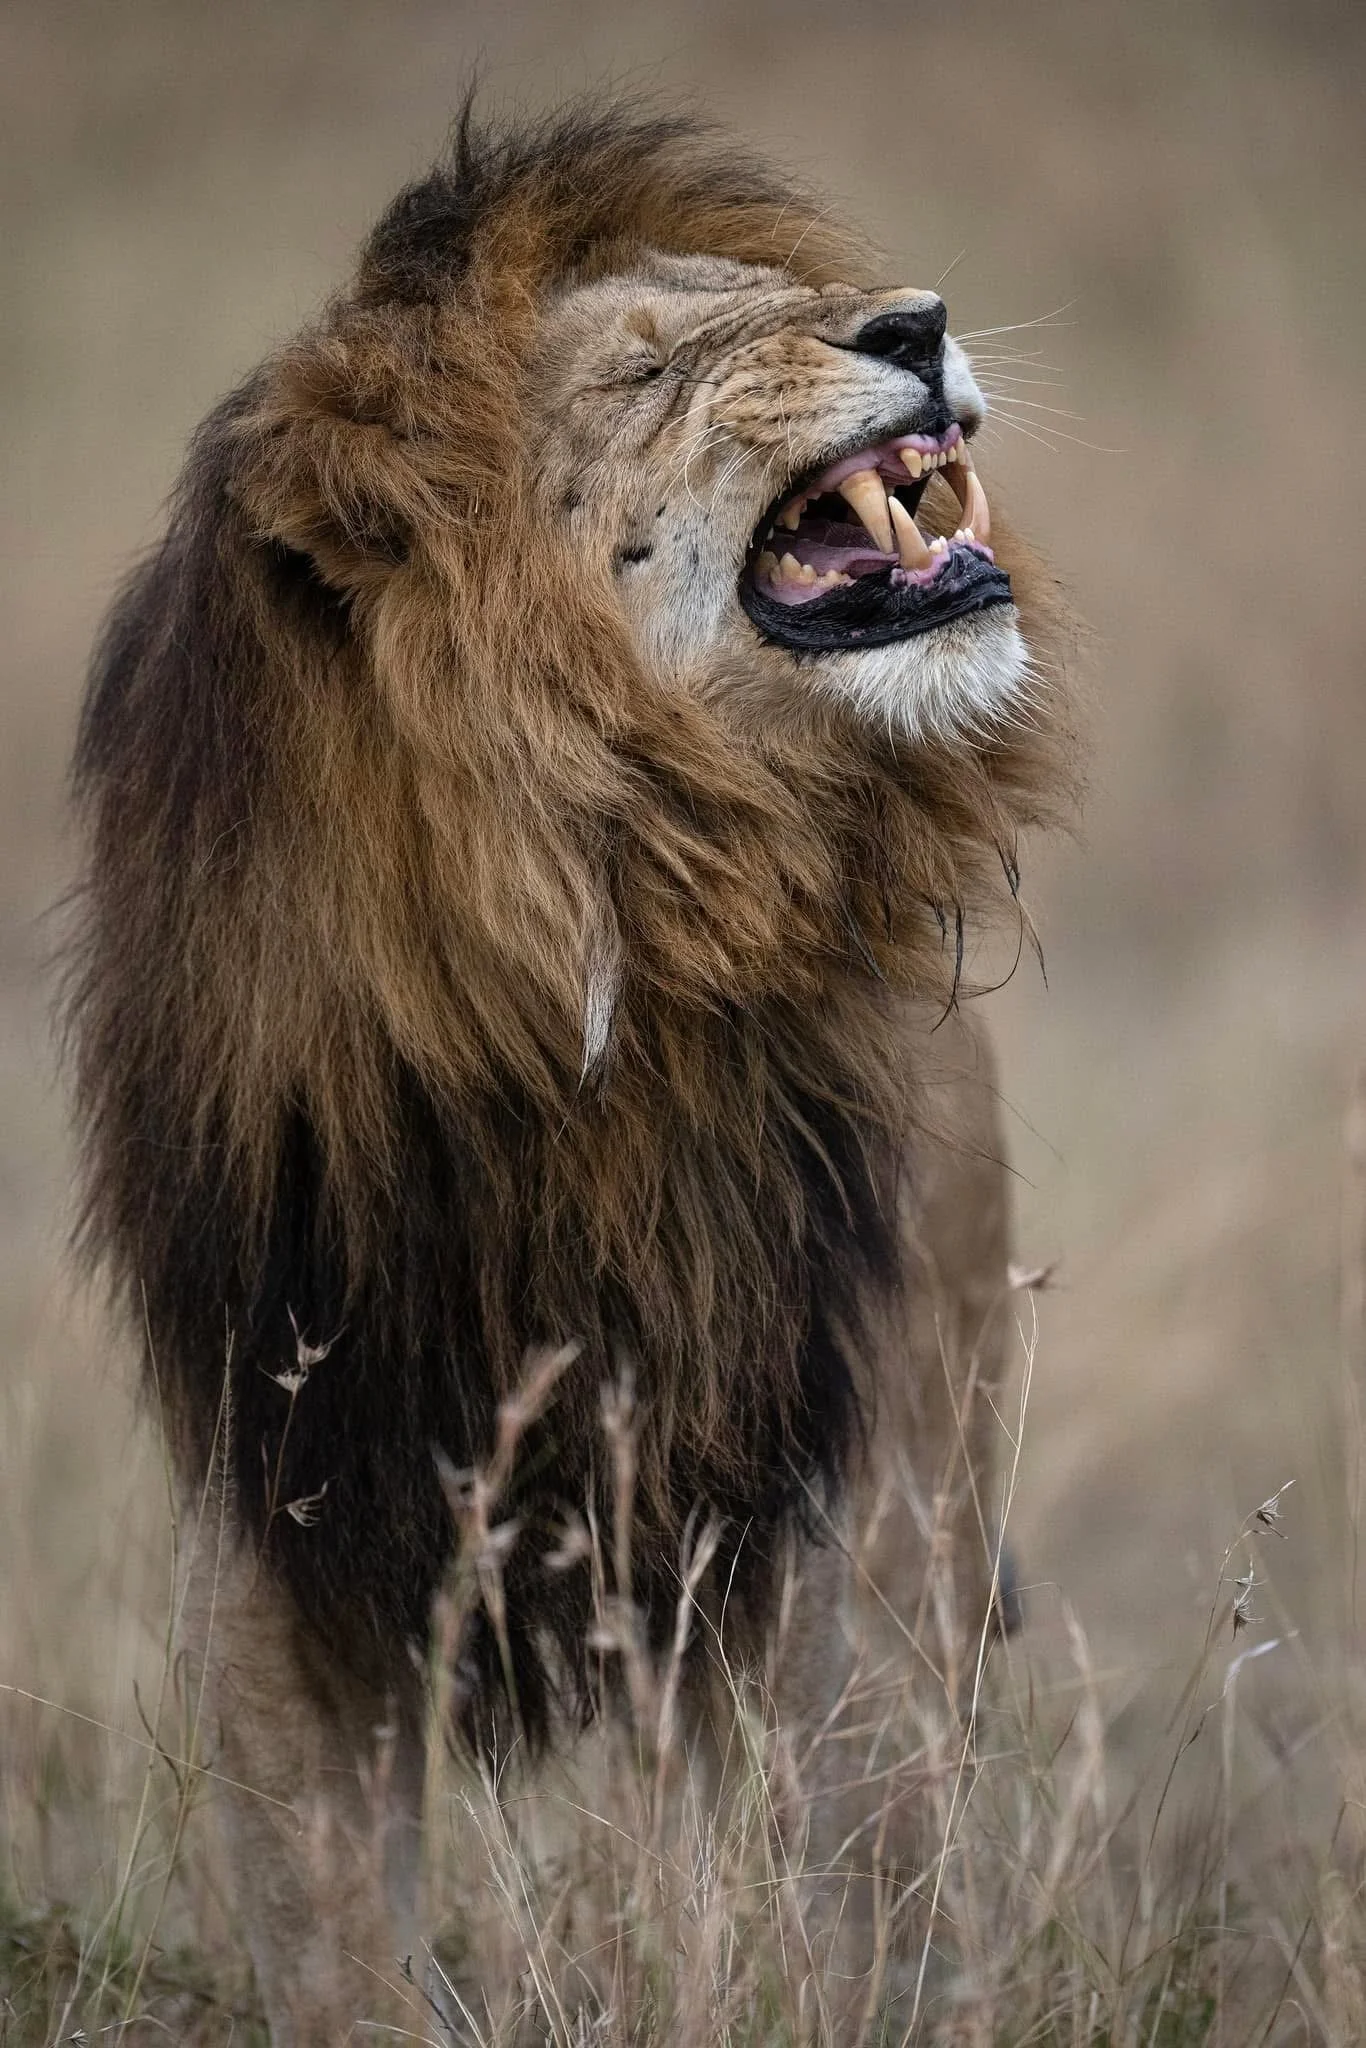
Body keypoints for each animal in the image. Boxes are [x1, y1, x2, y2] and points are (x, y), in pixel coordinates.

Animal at [67, 100, 1072, 2042]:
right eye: (647, 369)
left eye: (787, 299)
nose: (913, 321)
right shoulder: (287, 1503)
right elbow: (336, 1936)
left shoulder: (802, 1512)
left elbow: (827, 1880)